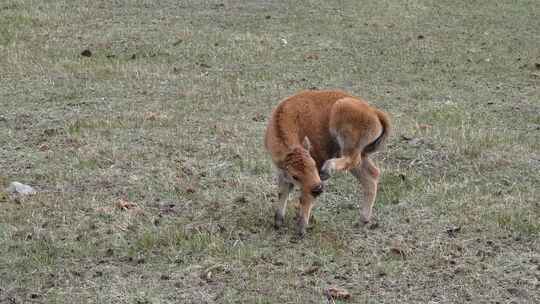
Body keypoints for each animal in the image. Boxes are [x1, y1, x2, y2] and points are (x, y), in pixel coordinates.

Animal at [264, 89, 390, 236]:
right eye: (295, 176)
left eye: (314, 166)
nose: (318, 188)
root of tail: (374, 112)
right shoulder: (282, 172)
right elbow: (283, 191)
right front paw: (278, 221)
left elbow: (304, 197)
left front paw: (301, 228)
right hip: (360, 154)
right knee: (371, 175)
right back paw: (363, 220)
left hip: (345, 133)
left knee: (353, 160)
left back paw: (328, 169)